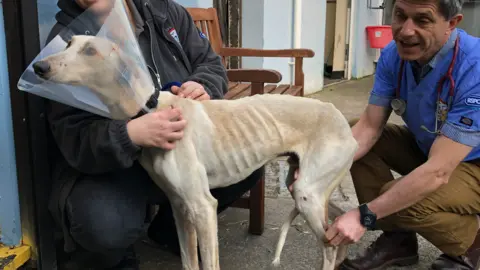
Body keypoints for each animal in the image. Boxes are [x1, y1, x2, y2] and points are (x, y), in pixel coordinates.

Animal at [31, 34, 356, 268]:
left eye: (90, 51)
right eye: (69, 43)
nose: (39, 67)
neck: (151, 107)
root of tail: (343, 122)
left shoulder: (203, 207)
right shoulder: (179, 206)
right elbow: (189, 261)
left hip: (307, 193)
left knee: (331, 245)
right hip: (304, 187)